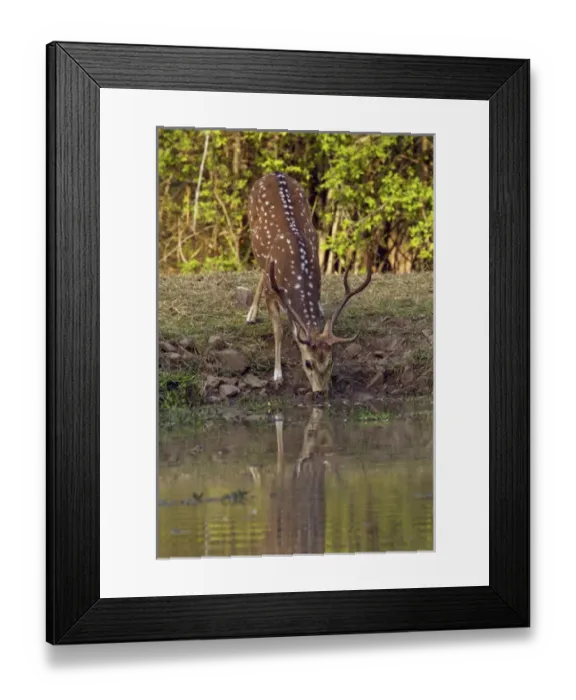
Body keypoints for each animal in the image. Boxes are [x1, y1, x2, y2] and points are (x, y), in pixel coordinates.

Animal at [245, 171, 372, 394]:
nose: (321, 392)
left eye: (331, 362)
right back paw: (251, 314)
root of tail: (275, 172)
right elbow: (278, 332)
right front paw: (277, 375)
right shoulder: (272, 291)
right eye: (308, 363)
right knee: (261, 271)